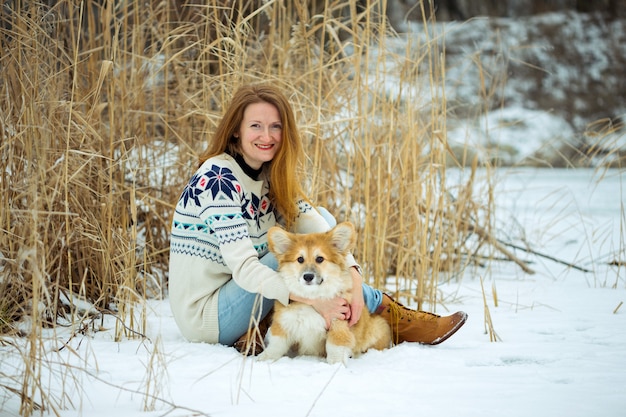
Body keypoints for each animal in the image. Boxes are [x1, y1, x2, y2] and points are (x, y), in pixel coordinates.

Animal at [258, 221, 386, 364]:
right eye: (300, 259)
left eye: (319, 259)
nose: (308, 276)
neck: (313, 295)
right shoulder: (284, 321)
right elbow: (277, 344)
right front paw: (265, 358)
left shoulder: (338, 323)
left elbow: (334, 345)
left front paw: (336, 363)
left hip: (377, 328)